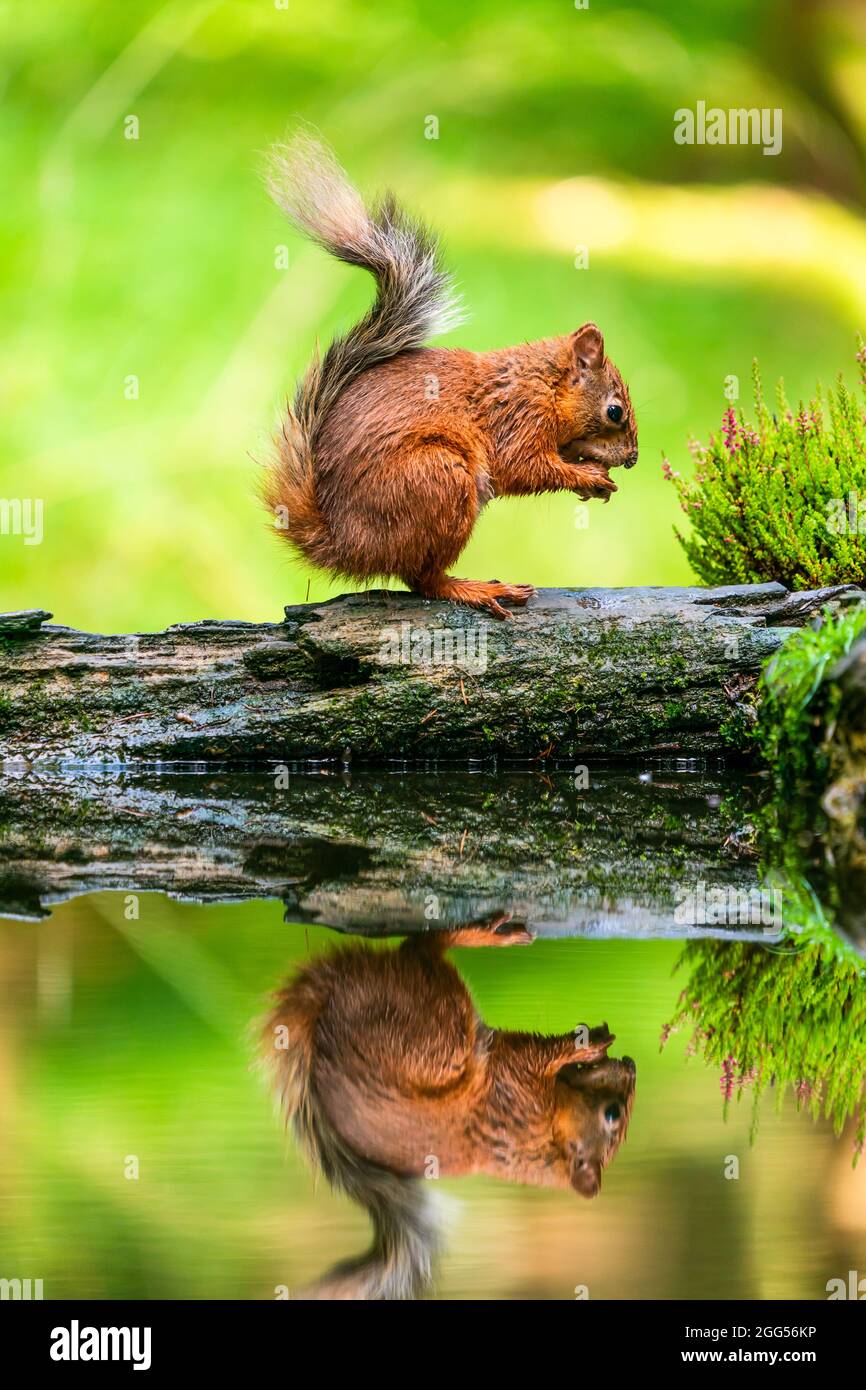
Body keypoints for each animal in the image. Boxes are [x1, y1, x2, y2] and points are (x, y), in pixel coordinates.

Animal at [260, 134, 638, 619]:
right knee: (424, 580)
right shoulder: (519, 417)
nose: (633, 458)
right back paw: (475, 588)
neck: (543, 383)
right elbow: (524, 467)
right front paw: (588, 477)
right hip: (440, 478)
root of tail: (344, 545)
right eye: (614, 412)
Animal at [261, 920, 636, 1300]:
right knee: (419, 952)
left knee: (417, 954)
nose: (631, 1066)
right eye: (613, 1114)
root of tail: (325, 1012)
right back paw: (483, 935)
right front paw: (581, 1048)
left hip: (430, 1024)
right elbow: (536, 1053)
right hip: (436, 1030)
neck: (544, 1145)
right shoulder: (517, 1093)